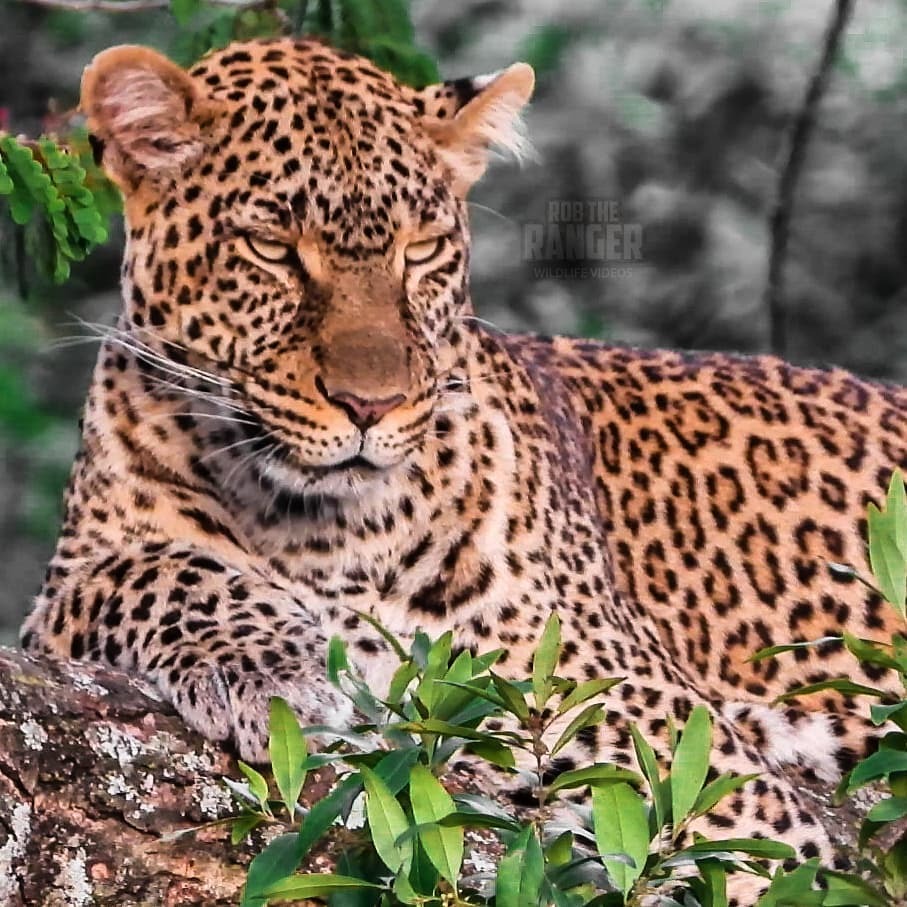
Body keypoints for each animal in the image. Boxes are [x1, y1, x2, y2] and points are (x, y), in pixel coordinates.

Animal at [19, 36, 907, 898]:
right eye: (272, 249)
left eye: (420, 251)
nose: (371, 405)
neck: (317, 531)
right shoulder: (67, 586)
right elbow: (158, 571)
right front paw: (268, 668)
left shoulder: (676, 748)